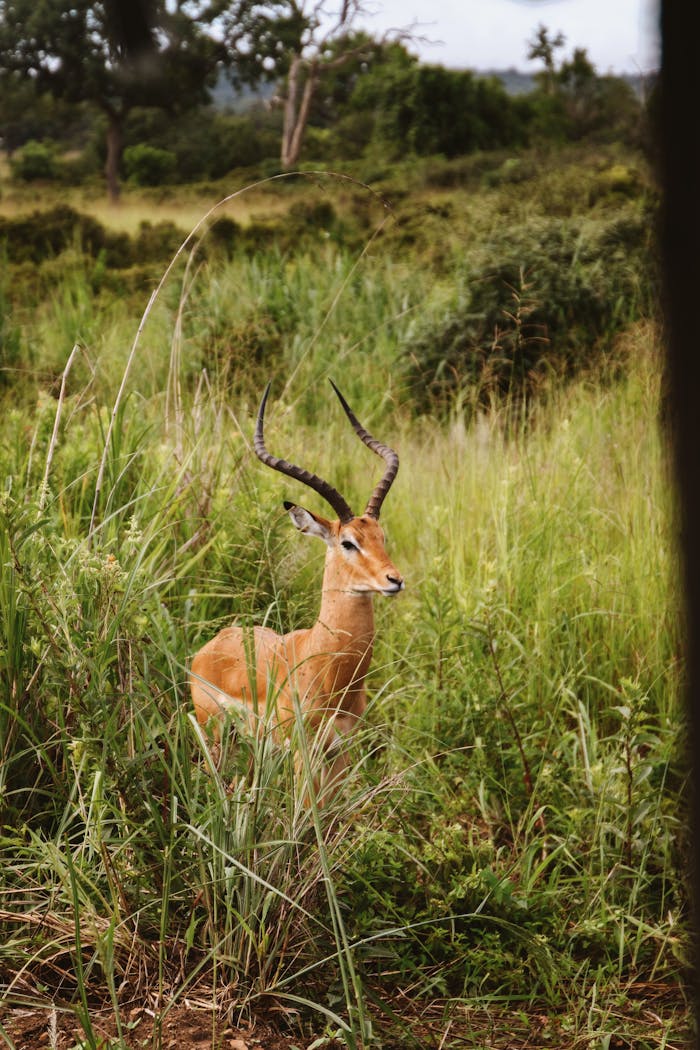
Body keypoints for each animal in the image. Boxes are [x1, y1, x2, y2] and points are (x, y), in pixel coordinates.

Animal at [189, 380, 404, 789]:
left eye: (381, 537)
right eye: (348, 542)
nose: (394, 580)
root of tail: (214, 643)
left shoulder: (340, 752)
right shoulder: (302, 754)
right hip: (215, 737)